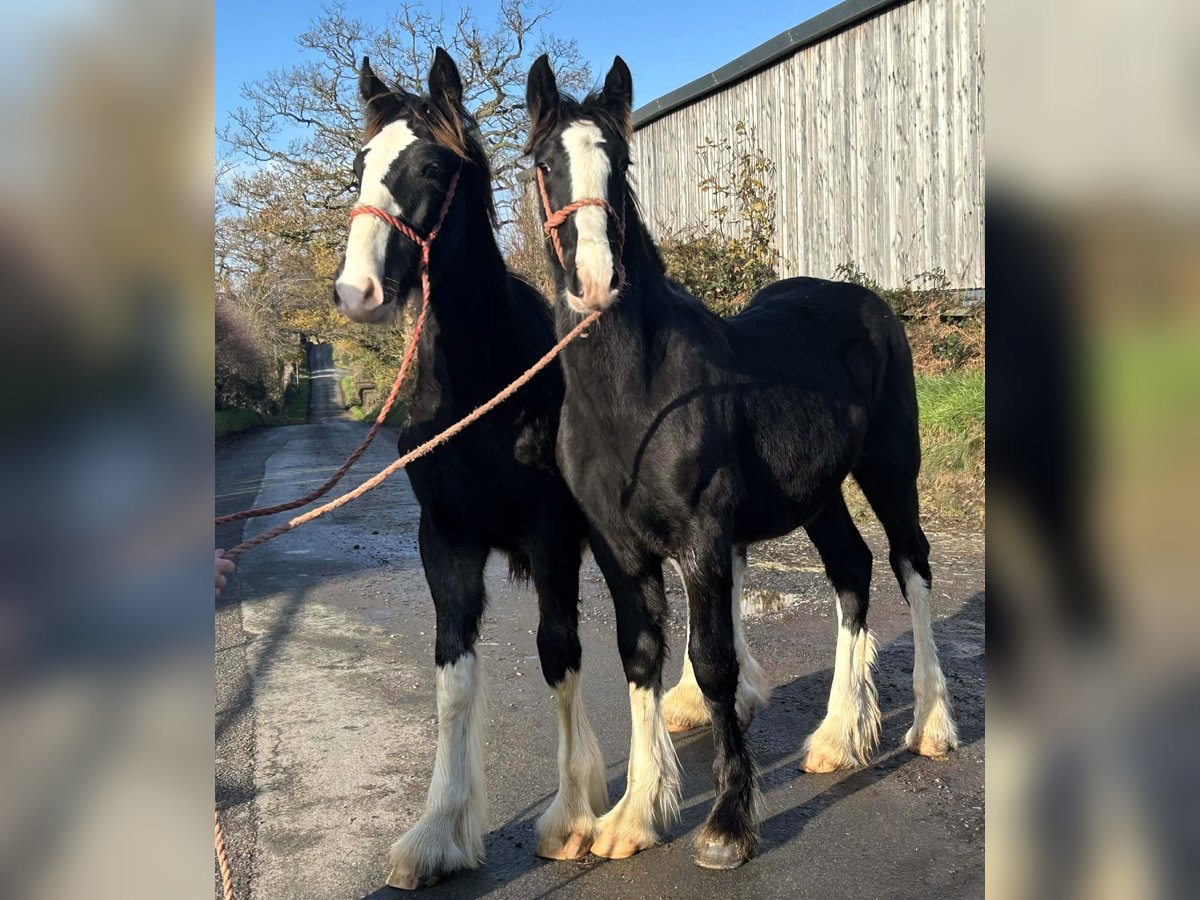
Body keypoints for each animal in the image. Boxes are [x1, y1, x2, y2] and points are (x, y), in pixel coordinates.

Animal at [332, 49, 608, 889]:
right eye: (360, 165)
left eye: (430, 165)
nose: (357, 292)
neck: (482, 385)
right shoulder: (445, 540)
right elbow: (453, 677)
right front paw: (438, 832)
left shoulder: (552, 538)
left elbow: (559, 651)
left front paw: (573, 814)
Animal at [524, 54, 959, 869]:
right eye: (541, 164)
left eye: (621, 161)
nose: (596, 283)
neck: (635, 398)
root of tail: (870, 304)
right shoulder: (618, 548)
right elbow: (639, 656)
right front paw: (634, 815)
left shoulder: (702, 539)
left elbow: (714, 662)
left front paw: (727, 825)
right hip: (818, 494)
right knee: (851, 571)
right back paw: (837, 737)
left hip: (890, 471)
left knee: (909, 565)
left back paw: (931, 725)